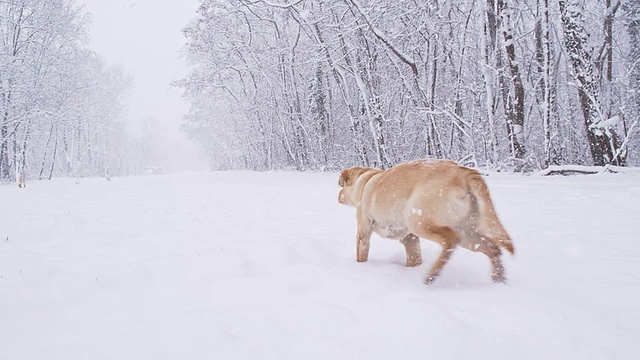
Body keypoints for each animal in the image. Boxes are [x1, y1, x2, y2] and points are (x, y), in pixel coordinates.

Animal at [340, 159, 516, 286]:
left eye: (341, 186)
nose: (338, 195)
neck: (365, 180)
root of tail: (463, 173)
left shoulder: (363, 231)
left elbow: (361, 253)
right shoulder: (410, 238)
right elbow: (414, 257)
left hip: (419, 221)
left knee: (450, 240)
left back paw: (431, 276)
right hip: (466, 233)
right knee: (492, 248)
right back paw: (498, 279)